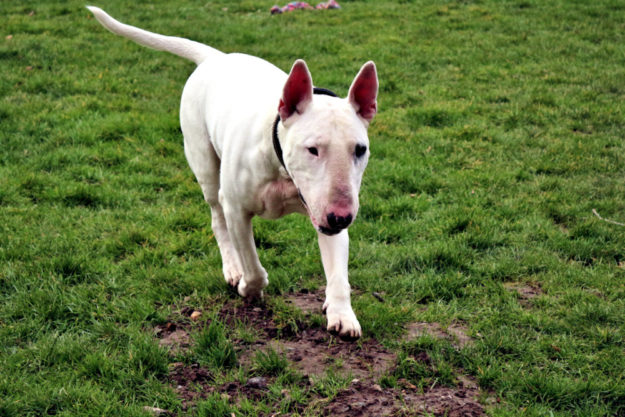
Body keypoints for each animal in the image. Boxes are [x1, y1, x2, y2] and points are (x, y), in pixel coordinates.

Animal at [88, 6, 378, 338]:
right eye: (312, 149)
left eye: (360, 149)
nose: (341, 217)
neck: (280, 166)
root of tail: (215, 57)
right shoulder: (237, 207)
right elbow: (251, 262)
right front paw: (247, 286)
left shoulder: (322, 212)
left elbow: (338, 272)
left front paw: (341, 313)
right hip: (205, 166)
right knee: (217, 219)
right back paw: (232, 267)